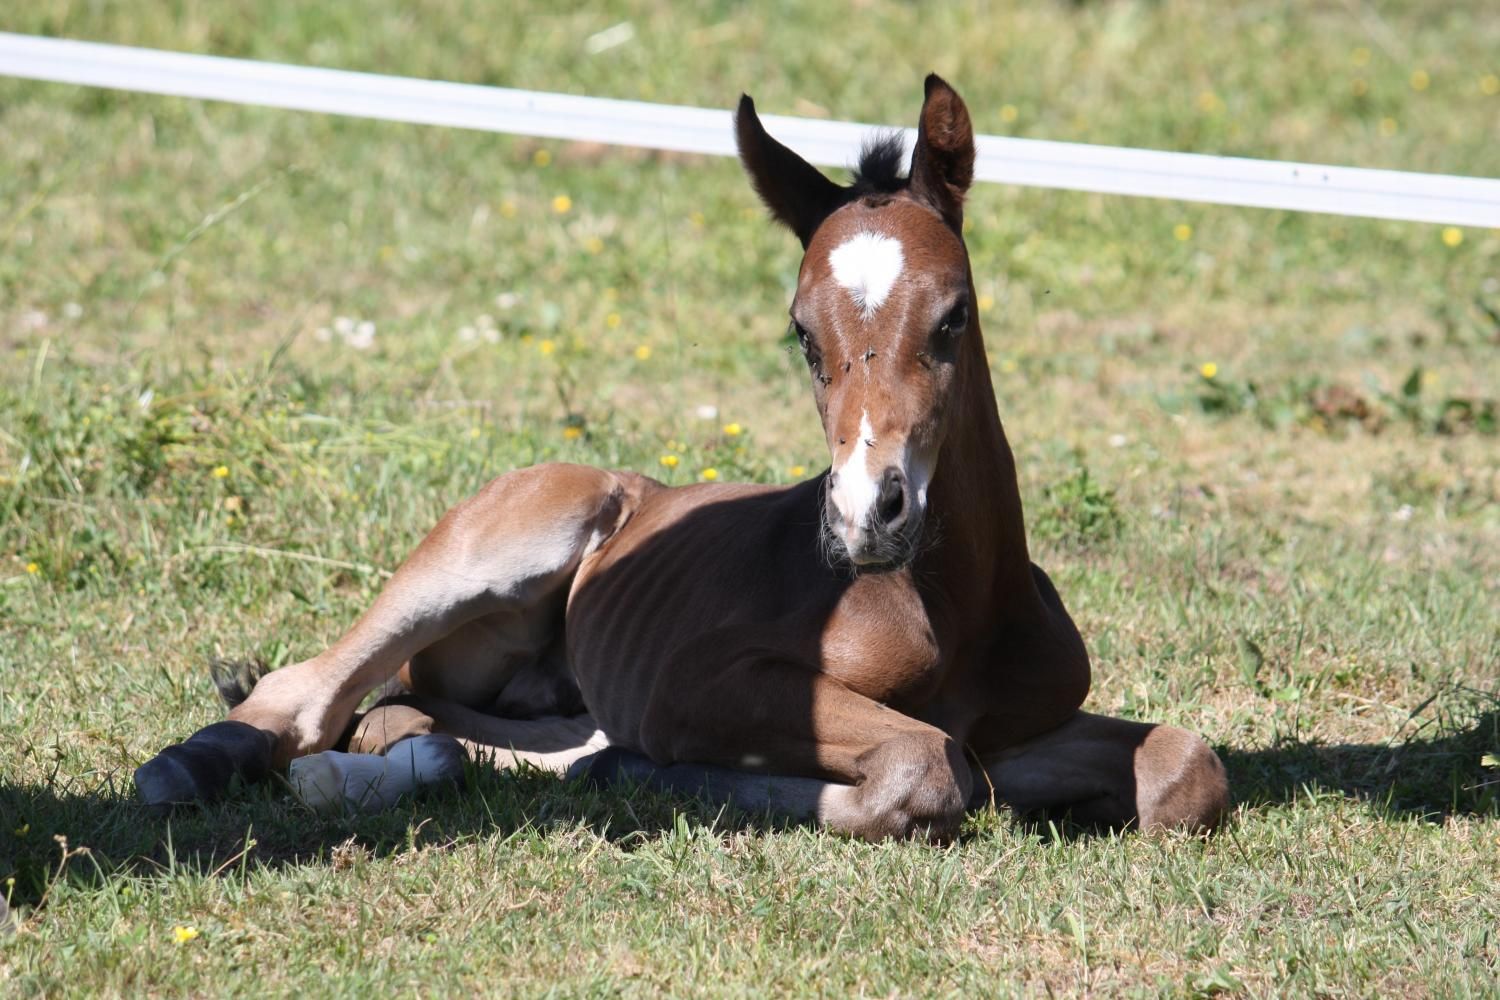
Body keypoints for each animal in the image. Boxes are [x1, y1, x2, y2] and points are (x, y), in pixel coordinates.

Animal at [135, 76, 1224, 839]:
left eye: (954, 317)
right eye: (802, 334)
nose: (867, 514)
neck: (954, 603)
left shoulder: (1027, 722)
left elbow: (1186, 766)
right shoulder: (702, 680)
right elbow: (930, 764)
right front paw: (674, 776)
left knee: (423, 722)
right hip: (511, 539)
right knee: (314, 693)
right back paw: (195, 770)